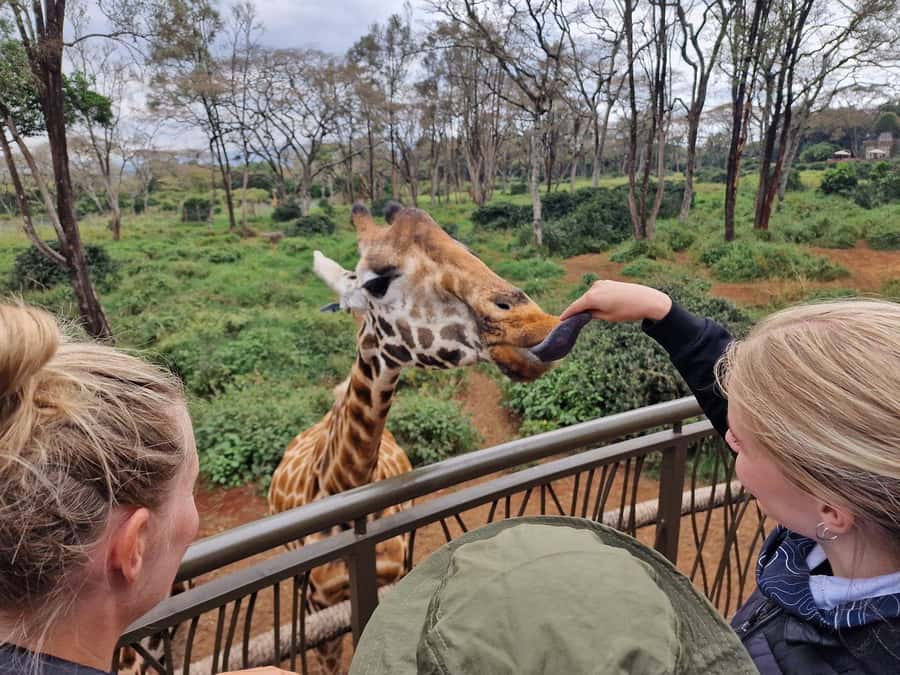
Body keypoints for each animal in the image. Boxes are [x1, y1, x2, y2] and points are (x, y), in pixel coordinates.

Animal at [267, 202, 564, 673]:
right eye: (377, 281)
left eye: (466, 248)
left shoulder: (389, 578)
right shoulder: (318, 607)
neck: (342, 484)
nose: (535, 323)